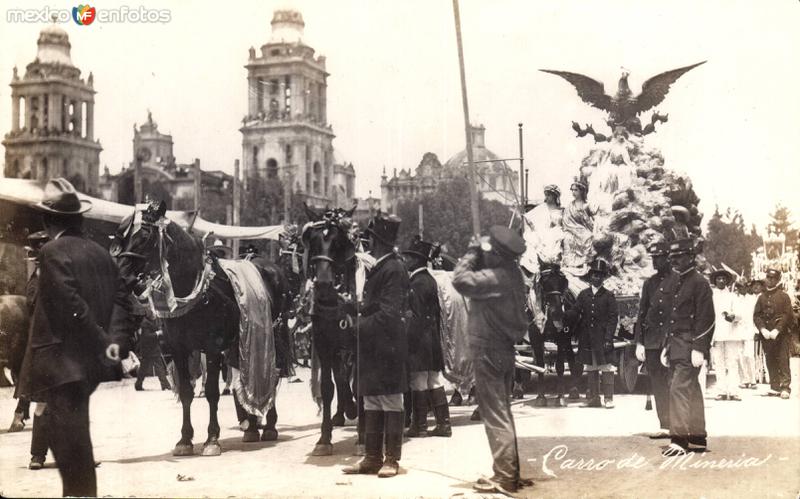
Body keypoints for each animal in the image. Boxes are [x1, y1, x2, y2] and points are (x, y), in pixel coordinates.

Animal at [112, 203, 288, 458]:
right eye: (122, 236)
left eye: (144, 236)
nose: (122, 275)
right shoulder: (178, 349)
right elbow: (187, 392)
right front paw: (185, 439)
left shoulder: (212, 348)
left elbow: (212, 392)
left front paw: (212, 439)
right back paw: (251, 426)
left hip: (269, 335)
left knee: (272, 374)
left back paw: (270, 425)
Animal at [524, 260, 580, 408]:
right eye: (544, 282)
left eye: (562, 281)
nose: (558, 313)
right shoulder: (535, 338)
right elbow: (539, 366)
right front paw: (540, 397)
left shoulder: (561, 337)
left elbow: (560, 366)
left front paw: (560, 397)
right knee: (571, 357)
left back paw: (574, 390)